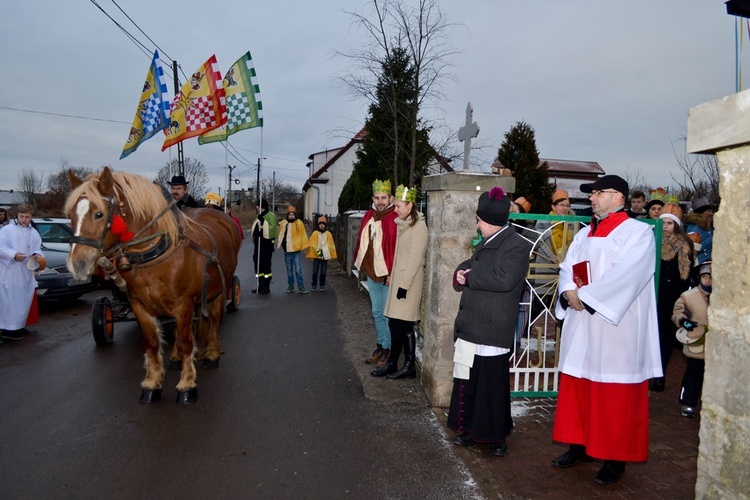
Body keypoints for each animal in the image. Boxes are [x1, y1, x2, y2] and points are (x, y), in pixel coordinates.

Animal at [65, 167, 242, 402]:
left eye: (99, 214)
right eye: (70, 216)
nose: (77, 263)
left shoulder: (184, 304)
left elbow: (187, 342)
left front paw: (187, 385)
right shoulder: (140, 305)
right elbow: (152, 342)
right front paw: (152, 383)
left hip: (220, 288)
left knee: (213, 318)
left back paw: (212, 354)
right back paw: (175, 357)